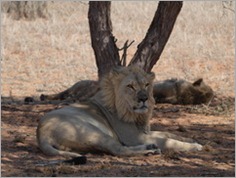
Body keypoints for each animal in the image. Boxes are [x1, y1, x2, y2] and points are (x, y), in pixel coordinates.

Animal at [37, 66, 203, 161]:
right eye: (130, 86)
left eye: (146, 85)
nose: (144, 98)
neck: (138, 116)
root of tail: (41, 134)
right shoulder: (134, 137)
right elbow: (169, 141)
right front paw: (196, 146)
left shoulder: (144, 132)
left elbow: (168, 134)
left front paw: (190, 139)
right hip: (93, 132)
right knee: (118, 150)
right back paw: (150, 150)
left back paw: (150, 149)